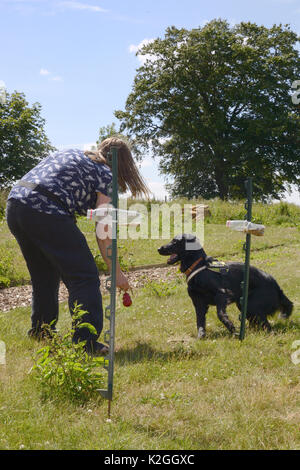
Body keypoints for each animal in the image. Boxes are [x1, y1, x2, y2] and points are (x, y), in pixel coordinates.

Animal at [158, 235, 294, 338]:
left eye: (175, 241)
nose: (159, 248)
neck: (199, 267)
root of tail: (276, 285)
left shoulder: (222, 293)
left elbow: (220, 314)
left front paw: (231, 328)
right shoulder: (198, 302)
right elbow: (200, 322)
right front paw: (201, 337)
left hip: (251, 305)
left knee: (268, 326)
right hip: (244, 305)